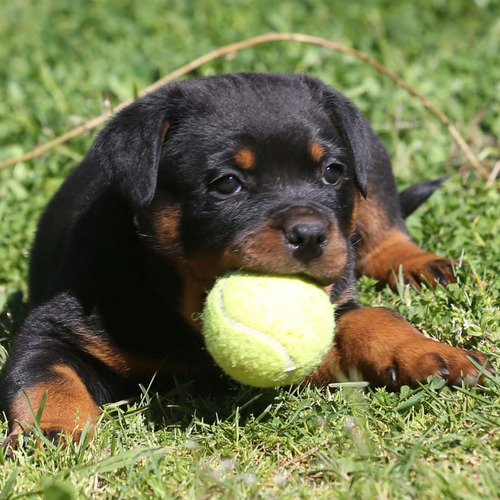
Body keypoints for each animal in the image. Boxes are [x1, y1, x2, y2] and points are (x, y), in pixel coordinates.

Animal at [0, 71, 492, 442]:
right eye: (227, 183)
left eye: (333, 173)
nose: (311, 235)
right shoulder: (54, 328)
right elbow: (48, 376)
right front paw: (55, 431)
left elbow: (374, 317)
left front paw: (430, 352)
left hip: (372, 157)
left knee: (384, 220)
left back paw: (418, 263)